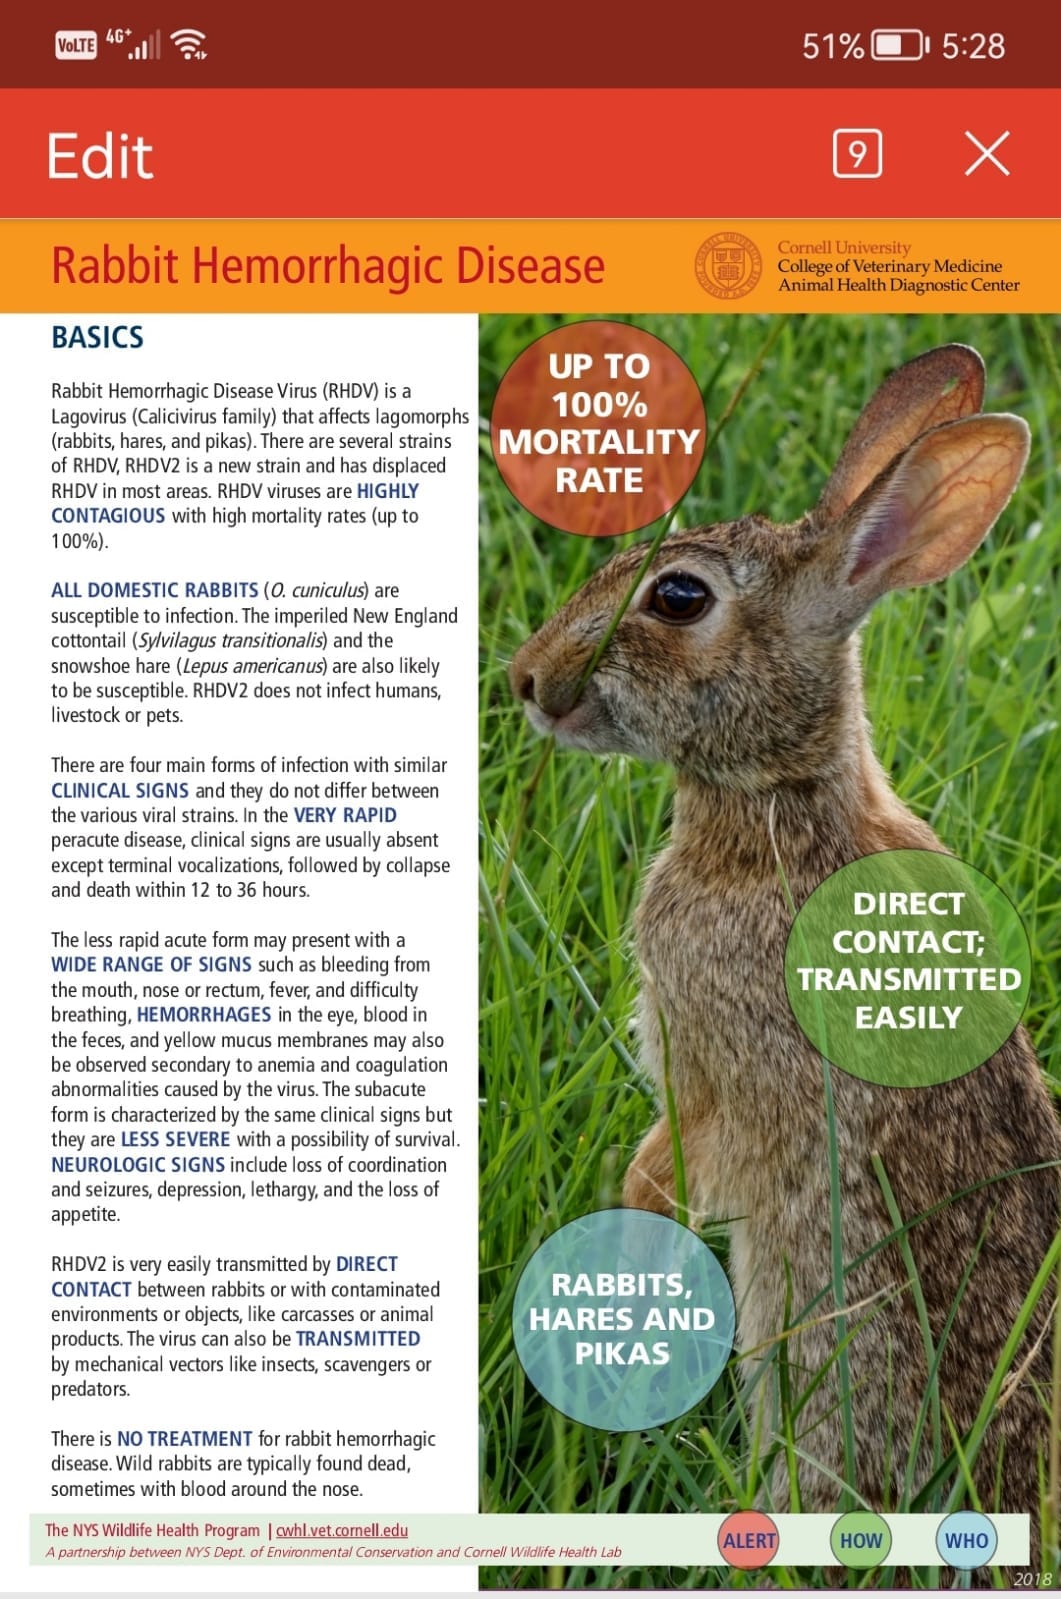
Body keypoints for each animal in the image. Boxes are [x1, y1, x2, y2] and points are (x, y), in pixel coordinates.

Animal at [509, 345, 1060, 1580]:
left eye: (677, 598)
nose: (525, 679)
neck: (778, 799)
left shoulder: (721, 1071)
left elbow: (686, 1164)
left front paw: (631, 1225)